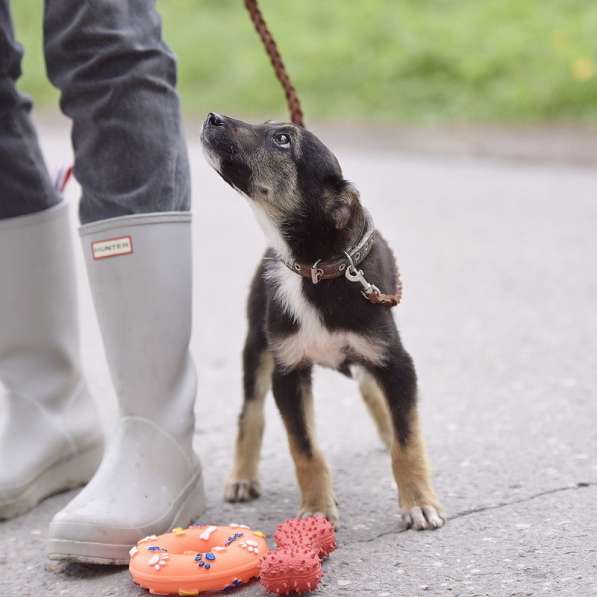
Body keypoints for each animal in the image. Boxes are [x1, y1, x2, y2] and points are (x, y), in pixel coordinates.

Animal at [200, 113, 442, 532]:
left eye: (282, 139)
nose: (212, 116)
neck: (315, 269)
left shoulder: (395, 362)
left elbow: (408, 441)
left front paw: (419, 502)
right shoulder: (288, 371)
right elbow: (305, 449)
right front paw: (316, 509)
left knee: (370, 390)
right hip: (256, 345)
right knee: (251, 413)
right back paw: (242, 476)